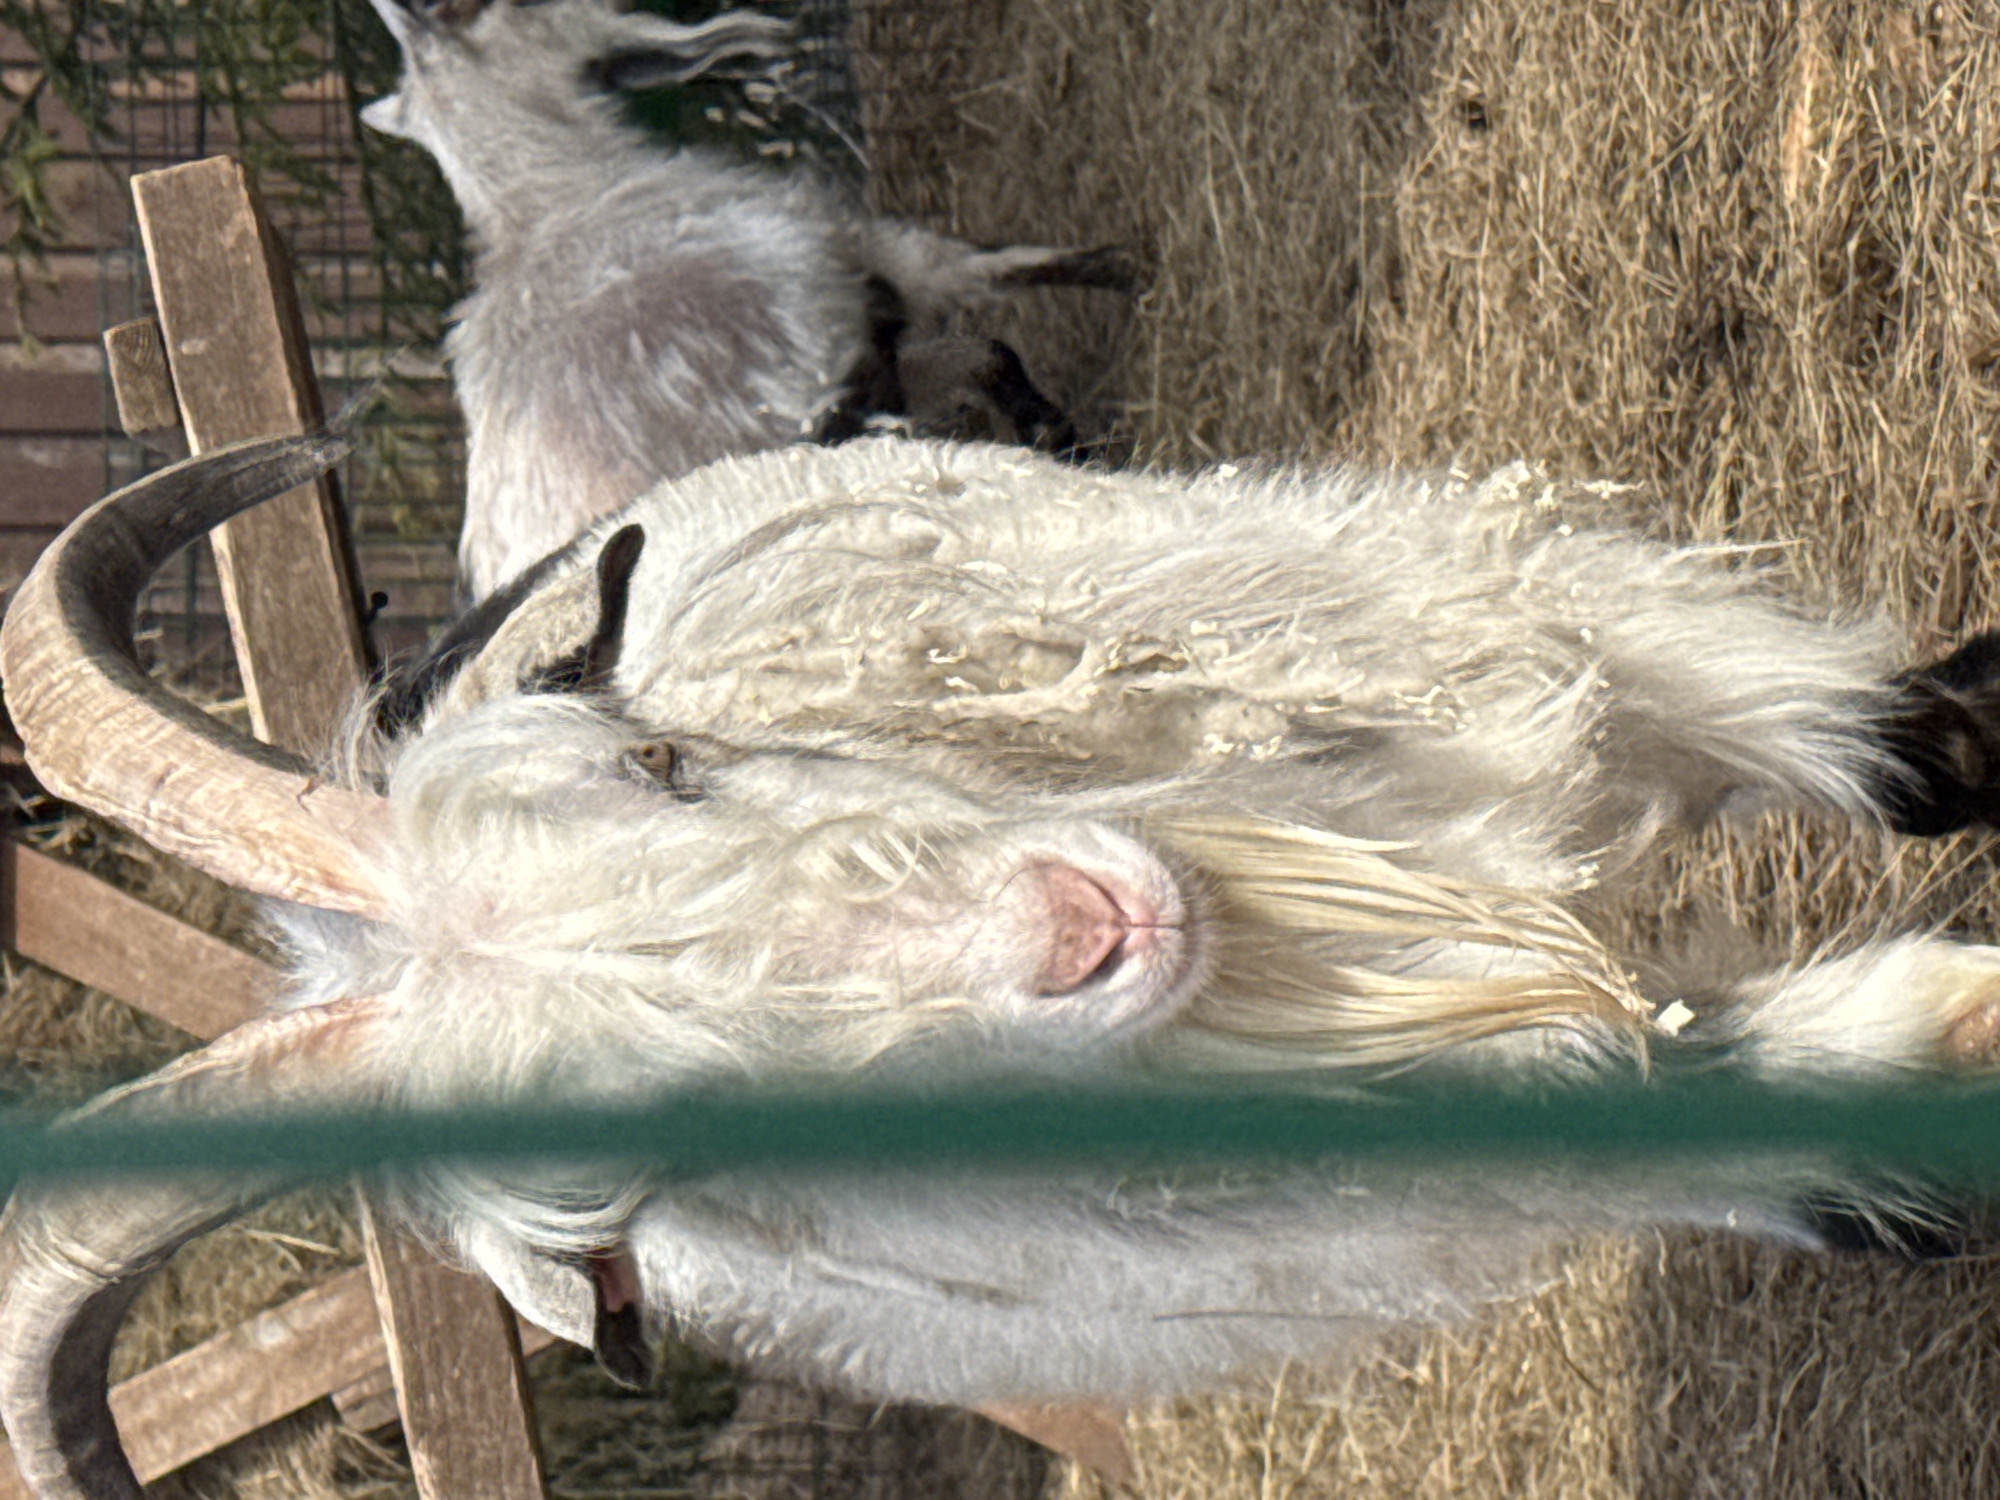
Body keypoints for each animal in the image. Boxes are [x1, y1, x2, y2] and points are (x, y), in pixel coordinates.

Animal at [7, 434, 2000, 1499]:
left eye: (664, 760)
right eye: (659, 1162)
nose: (1076, 928)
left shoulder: (1495, 640)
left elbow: (1861, 734)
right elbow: (1781, 1116)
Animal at [361, 0, 1132, 601]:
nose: (758, 34)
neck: (556, 198)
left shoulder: (870, 335)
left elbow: (984, 347)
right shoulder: (868, 260)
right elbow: (995, 289)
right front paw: (1121, 272)